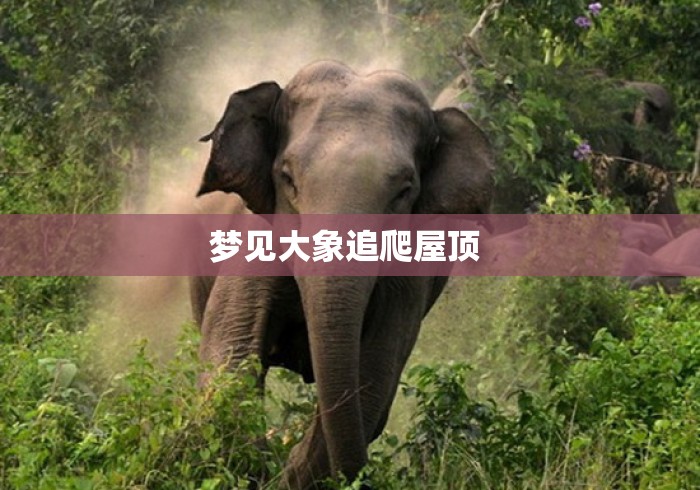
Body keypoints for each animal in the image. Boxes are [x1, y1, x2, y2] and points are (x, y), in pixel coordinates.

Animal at [192, 60, 494, 489]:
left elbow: (373, 380)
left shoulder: (408, 281)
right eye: (288, 178)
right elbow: (229, 354)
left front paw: (285, 475)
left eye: (404, 191)